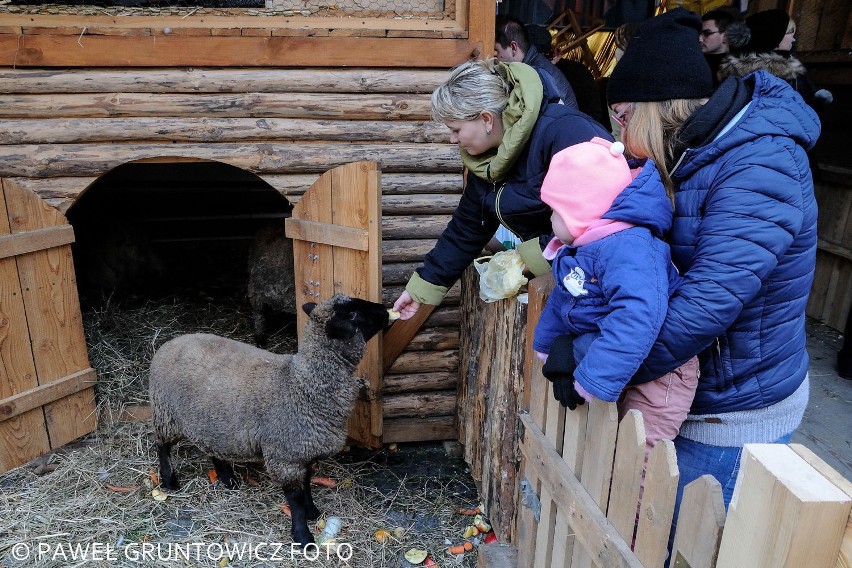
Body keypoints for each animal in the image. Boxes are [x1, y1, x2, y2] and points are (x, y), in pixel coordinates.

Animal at [149, 292, 390, 544]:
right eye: (352, 315)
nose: (385, 310)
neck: (302, 384)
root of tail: (169, 343)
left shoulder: (302, 451)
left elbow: (307, 484)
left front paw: (312, 512)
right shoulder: (285, 456)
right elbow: (295, 497)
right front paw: (303, 536)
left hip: (211, 421)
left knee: (213, 448)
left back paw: (228, 479)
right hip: (166, 413)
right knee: (162, 446)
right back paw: (170, 481)